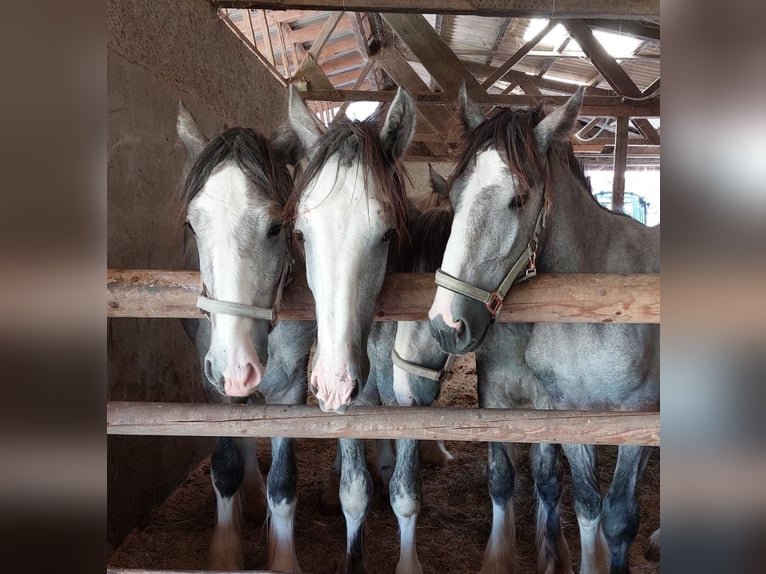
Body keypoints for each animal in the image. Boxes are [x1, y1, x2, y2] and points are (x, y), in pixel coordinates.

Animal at [426, 86, 660, 574]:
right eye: (454, 197)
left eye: (518, 198)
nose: (445, 324)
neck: (594, 304)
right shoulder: (570, 413)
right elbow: (587, 506)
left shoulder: (638, 419)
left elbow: (619, 517)